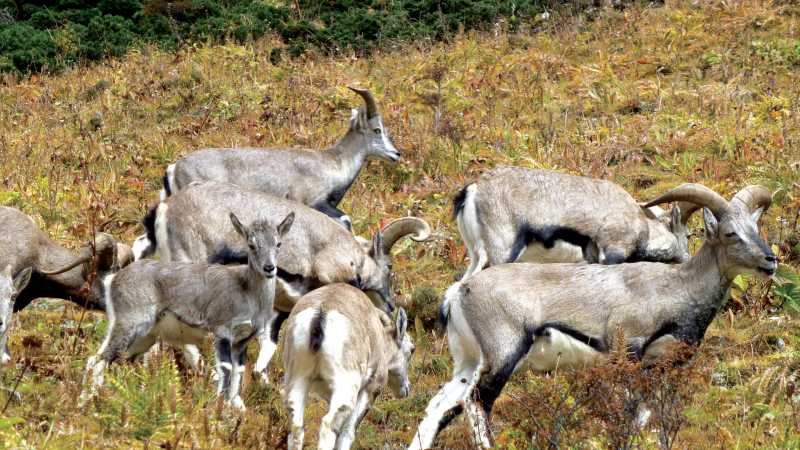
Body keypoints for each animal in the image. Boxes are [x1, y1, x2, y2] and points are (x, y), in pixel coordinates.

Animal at [80, 212, 294, 410]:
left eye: (278, 243)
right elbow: (225, 370)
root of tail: (112, 280)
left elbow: (238, 372)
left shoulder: (242, 341)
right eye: (251, 244)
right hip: (129, 324)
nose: (269, 268)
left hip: (143, 338)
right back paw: (86, 404)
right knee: (97, 360)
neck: (246, 291)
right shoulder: (221, 332)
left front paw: (237, 409)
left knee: (102, 359)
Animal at [282, 283, 414, 450]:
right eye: (412, 350)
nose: (406, 389)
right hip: (345, 391)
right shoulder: (368, 391)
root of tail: (321, 313)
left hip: (298, 381)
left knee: (296, 430)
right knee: (328, 426)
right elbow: (348, 432)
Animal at [409, 183, 776, 449]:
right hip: (503, 355)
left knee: (440, 406)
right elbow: (635, 413)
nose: (770, 260)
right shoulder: (629, 352)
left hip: (467, 362)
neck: (677, 288)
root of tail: (459, 293)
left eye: (755, 227)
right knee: (476, 402)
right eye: (730, 233)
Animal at [454, 166, 698, 278]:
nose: (688, 259)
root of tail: (473, 190)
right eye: (687, 235)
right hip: (500, 254)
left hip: (476, 256)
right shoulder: (613, 254)